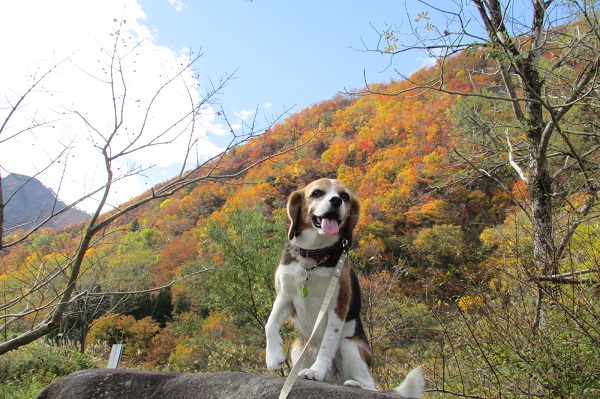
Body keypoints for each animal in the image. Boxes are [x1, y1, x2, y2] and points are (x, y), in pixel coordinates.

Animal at [264, 180, 424, 398]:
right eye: (317, 193)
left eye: (345, 196)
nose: (336, 201)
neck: (314, 257)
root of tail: (334, 379)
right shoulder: (285, 297)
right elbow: (270, 324)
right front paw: (273, 357)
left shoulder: (337, 306)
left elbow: (327, 343)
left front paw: (316, 371)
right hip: (299, 347)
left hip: (350, 345)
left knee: (370, 384)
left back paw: (353, 384)